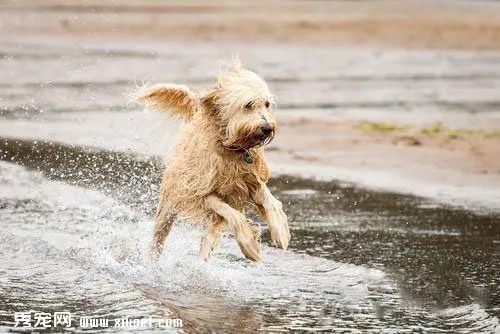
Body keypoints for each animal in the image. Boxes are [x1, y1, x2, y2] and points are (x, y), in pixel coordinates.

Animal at [135, 58, 292, 260]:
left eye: (266, 104)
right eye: (248, 105)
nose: (267, 128)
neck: (232, 148)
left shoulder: (252, 181)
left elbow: (271, 202)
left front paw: (281, 232)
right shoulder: (200, 192)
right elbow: (232, 214)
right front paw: (249, 244)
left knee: (207, 239)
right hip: (169, 203)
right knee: (159, 236)